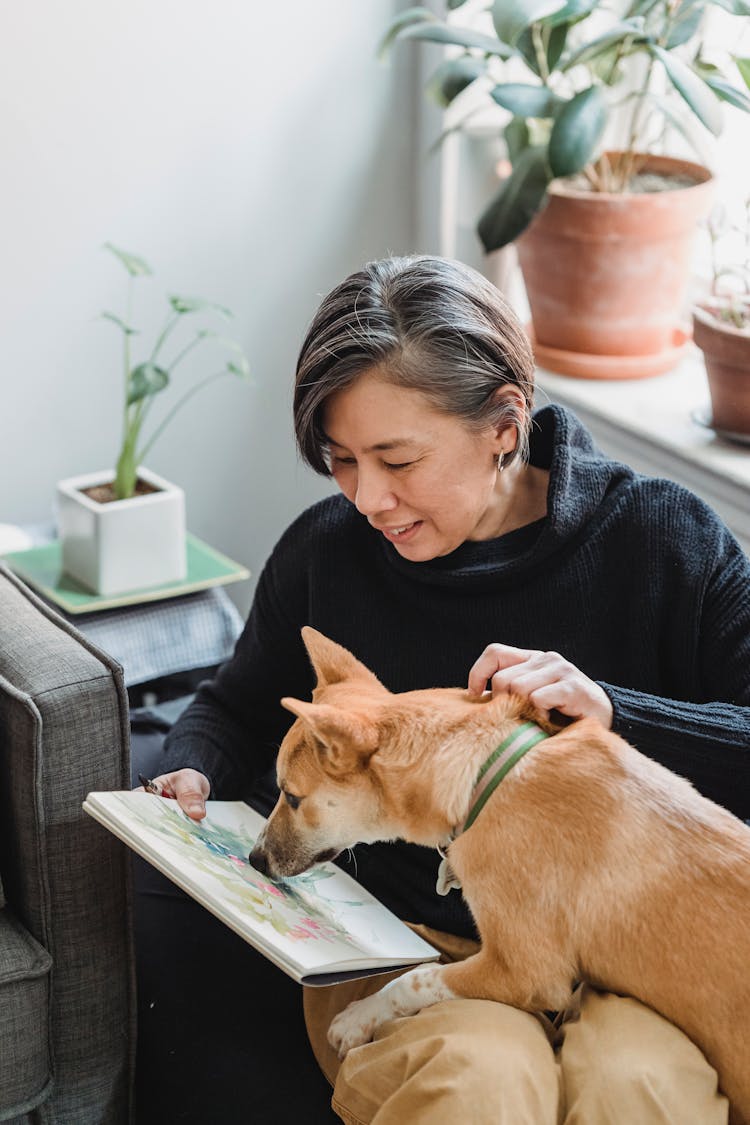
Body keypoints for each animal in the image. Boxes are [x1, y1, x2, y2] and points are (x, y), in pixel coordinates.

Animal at [250, 630, 750, 1120]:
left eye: (291, 797)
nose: (253, 860)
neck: (484, 774)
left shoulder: (526, 973)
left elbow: (414, 978)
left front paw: (358, 1018)